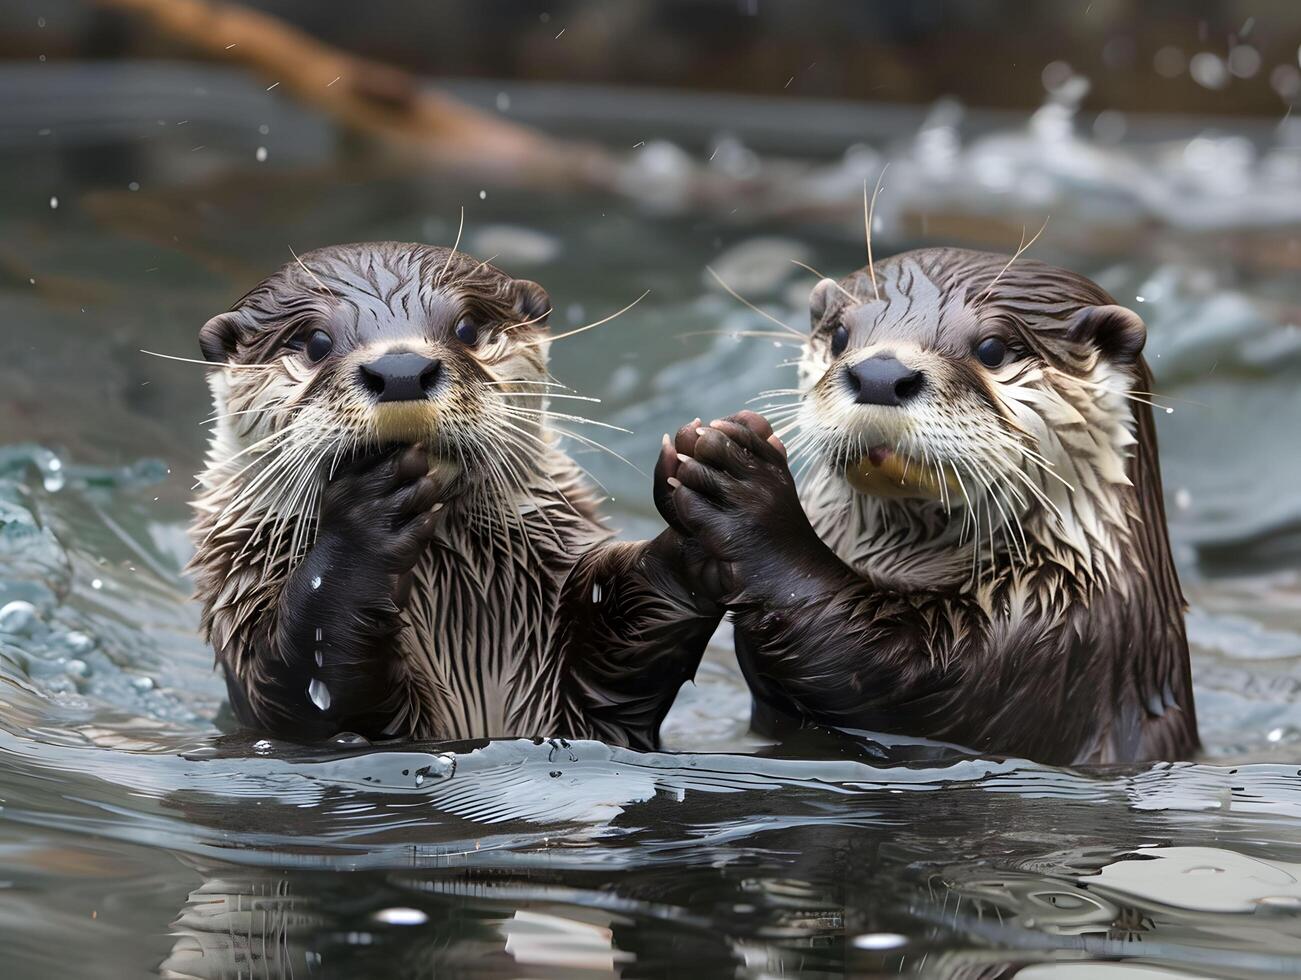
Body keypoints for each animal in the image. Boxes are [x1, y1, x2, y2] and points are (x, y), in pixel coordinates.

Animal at [191, 240, 718, 744]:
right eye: (316, 341)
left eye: (466, 328)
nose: (401, 369)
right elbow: (313, 676)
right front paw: (367, 520)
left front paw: (716, 492)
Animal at [660, 245, 1196, 765]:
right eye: (839, 335)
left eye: (992, 349)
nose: (879, 374)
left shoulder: (1056, 645)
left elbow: (882, 671)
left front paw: (744, 491)